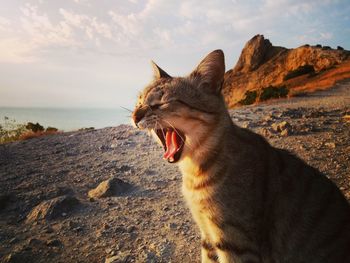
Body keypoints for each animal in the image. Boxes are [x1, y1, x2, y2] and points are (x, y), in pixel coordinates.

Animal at [132, 50, 350, 263]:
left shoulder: (235, 244)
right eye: (139, 101)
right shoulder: (208, 237)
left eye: (162, 102)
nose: (134, 116)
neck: (194, 172)